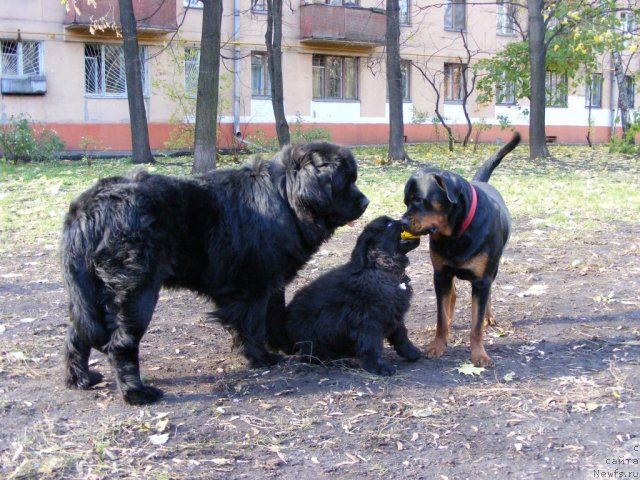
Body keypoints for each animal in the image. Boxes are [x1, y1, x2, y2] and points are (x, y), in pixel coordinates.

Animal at [61, 141, 370, 404]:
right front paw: (262, 357)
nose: (366, 202)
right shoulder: (255, 286)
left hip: (88, 295)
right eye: (346, 181)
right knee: (120, 343)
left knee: (77, 335)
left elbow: (274, 316)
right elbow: (253, 324)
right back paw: (136, 393)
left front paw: (285, 346)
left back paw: (82, 379)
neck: (284, 198)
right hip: (137, 292)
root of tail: (87, 209)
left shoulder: (273, 282)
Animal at [282, 216, 422, 376]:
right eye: (389, 224)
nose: (407, 221)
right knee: (312, 356)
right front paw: (377, 366)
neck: (381, 267)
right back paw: (342, 361)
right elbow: (371, 344)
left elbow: (401, 334)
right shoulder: (369, 319)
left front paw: (411, 352)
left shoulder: (393, 312)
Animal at [404, 133, 520, 366]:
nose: (402, 221)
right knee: (452, 295)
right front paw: (438, 345)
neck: (456, 235)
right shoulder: (441, 274)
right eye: (405, 201)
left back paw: (488, 315)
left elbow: (475, 325)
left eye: (419, 200)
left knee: (488, 295)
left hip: (493, 269)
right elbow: (440, 317)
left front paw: (479, 355)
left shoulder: (482, 280)